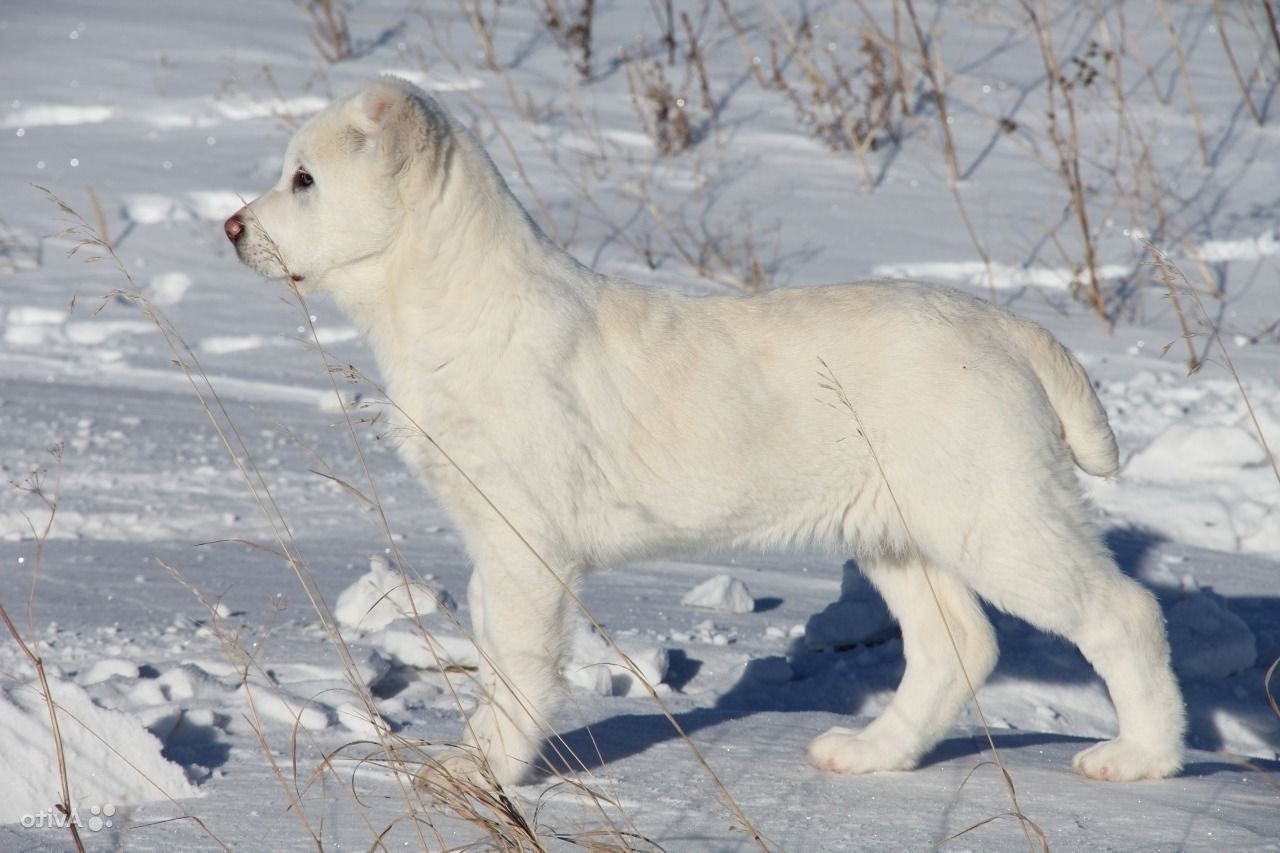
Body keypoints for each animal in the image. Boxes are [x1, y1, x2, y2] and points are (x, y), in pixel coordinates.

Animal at [225, 78, 1182, 783]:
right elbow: (494, 651)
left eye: (305, 181)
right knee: (958, 647)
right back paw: (871, 752)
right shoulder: (488, 538)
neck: (454, 305)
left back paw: (1143, 756)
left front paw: (484, 770)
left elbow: (518, 663)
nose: (232, 228)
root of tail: (1004, 327)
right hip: (900, 531)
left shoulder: (525, 540)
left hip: (997, 515)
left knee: (1122, 611)